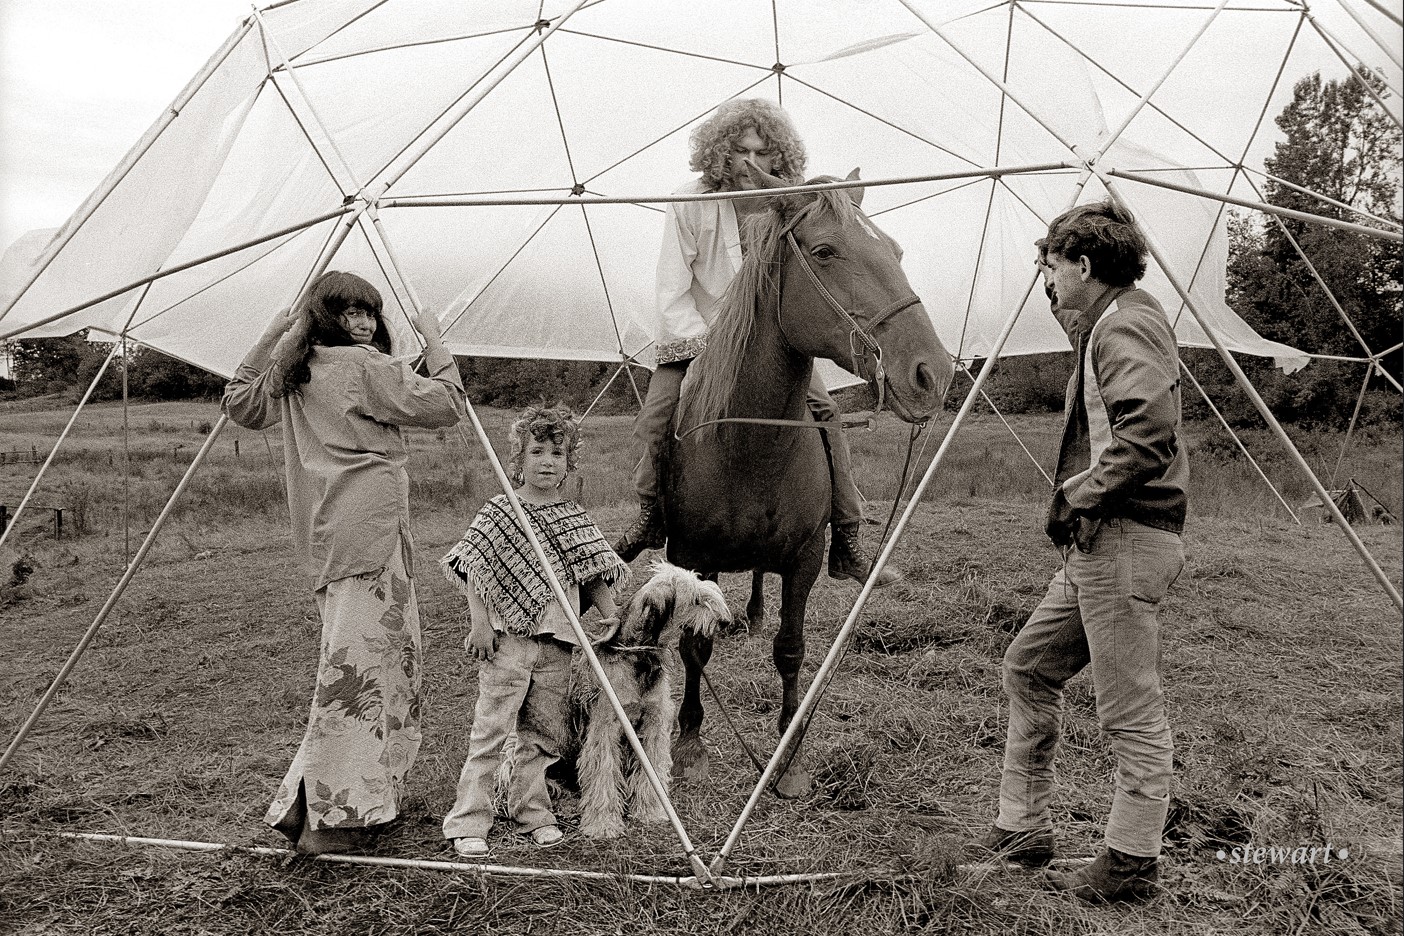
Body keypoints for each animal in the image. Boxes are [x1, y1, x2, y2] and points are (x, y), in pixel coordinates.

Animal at [502, 564, 724, 841]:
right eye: (695, 598)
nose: (724, 621)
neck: (636, 658)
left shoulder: (653, 725)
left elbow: (650, 771)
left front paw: (651, 811)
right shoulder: (605, 730)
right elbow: (603, 776)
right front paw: (603, 824)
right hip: (519, 752)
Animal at [665, 166, 954, 797]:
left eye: (895, 251)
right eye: (824, 252)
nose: (932, 373)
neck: (750, 447)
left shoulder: (803, 558)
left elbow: (791, 649)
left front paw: (789, 757)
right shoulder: (695, 557)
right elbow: (695, 647)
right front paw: (690, 744)